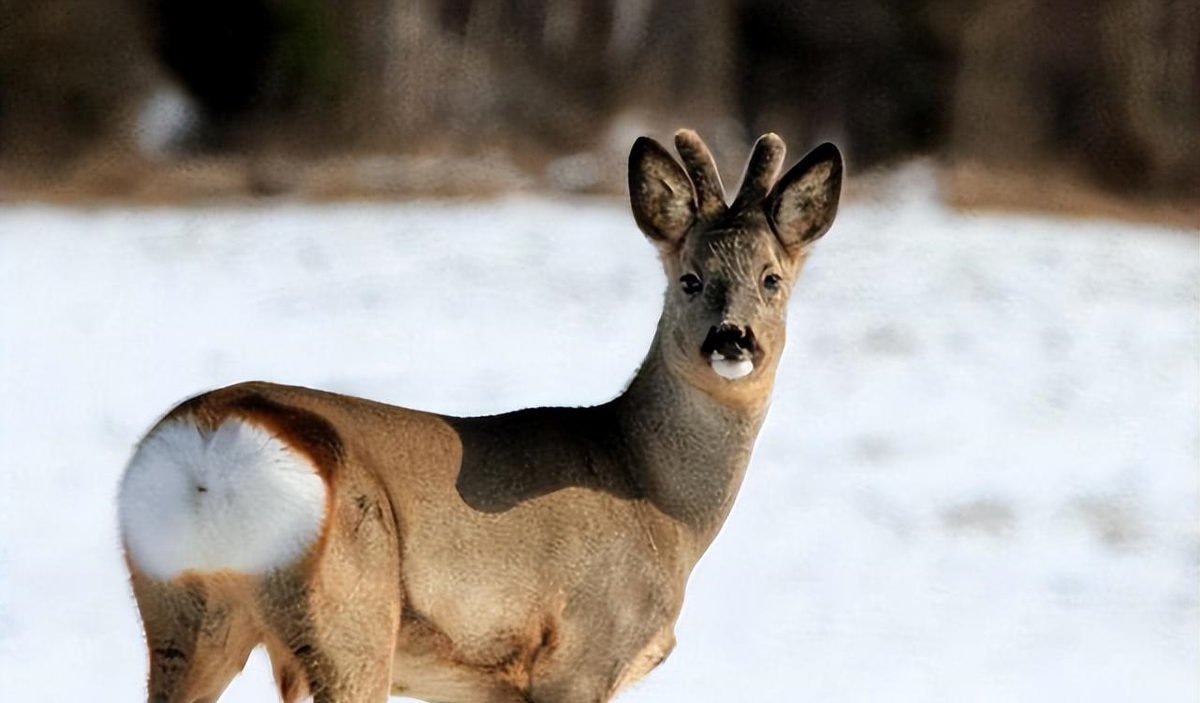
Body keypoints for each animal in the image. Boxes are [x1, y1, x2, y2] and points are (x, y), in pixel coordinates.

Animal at [117, 128, 840, 695]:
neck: (654, 497)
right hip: (351, 612)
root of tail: (211, 450)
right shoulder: (579, 653)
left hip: (182, 614)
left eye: (772, 280)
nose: (731, 339)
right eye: (689, 278)